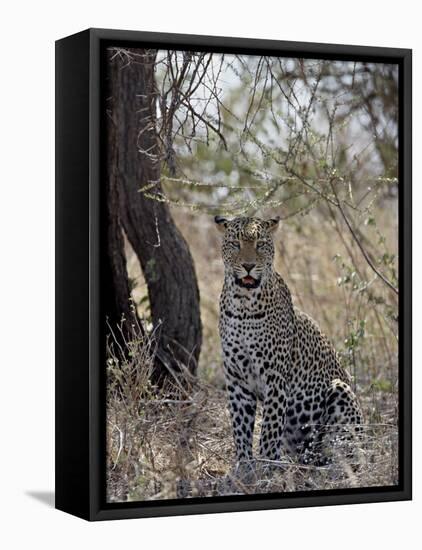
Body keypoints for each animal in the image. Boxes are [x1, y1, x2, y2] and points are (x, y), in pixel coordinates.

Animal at [214, 215, 362, 466]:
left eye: (260, 244)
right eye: (235, 244)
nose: (248, 266)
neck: (243, 305)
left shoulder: (274, 376)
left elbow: (270, 427)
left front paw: (266, 464)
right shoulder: (236, 377)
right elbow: (240, 426)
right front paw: (244, 465)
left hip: (340, 391)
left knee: (345, 449)